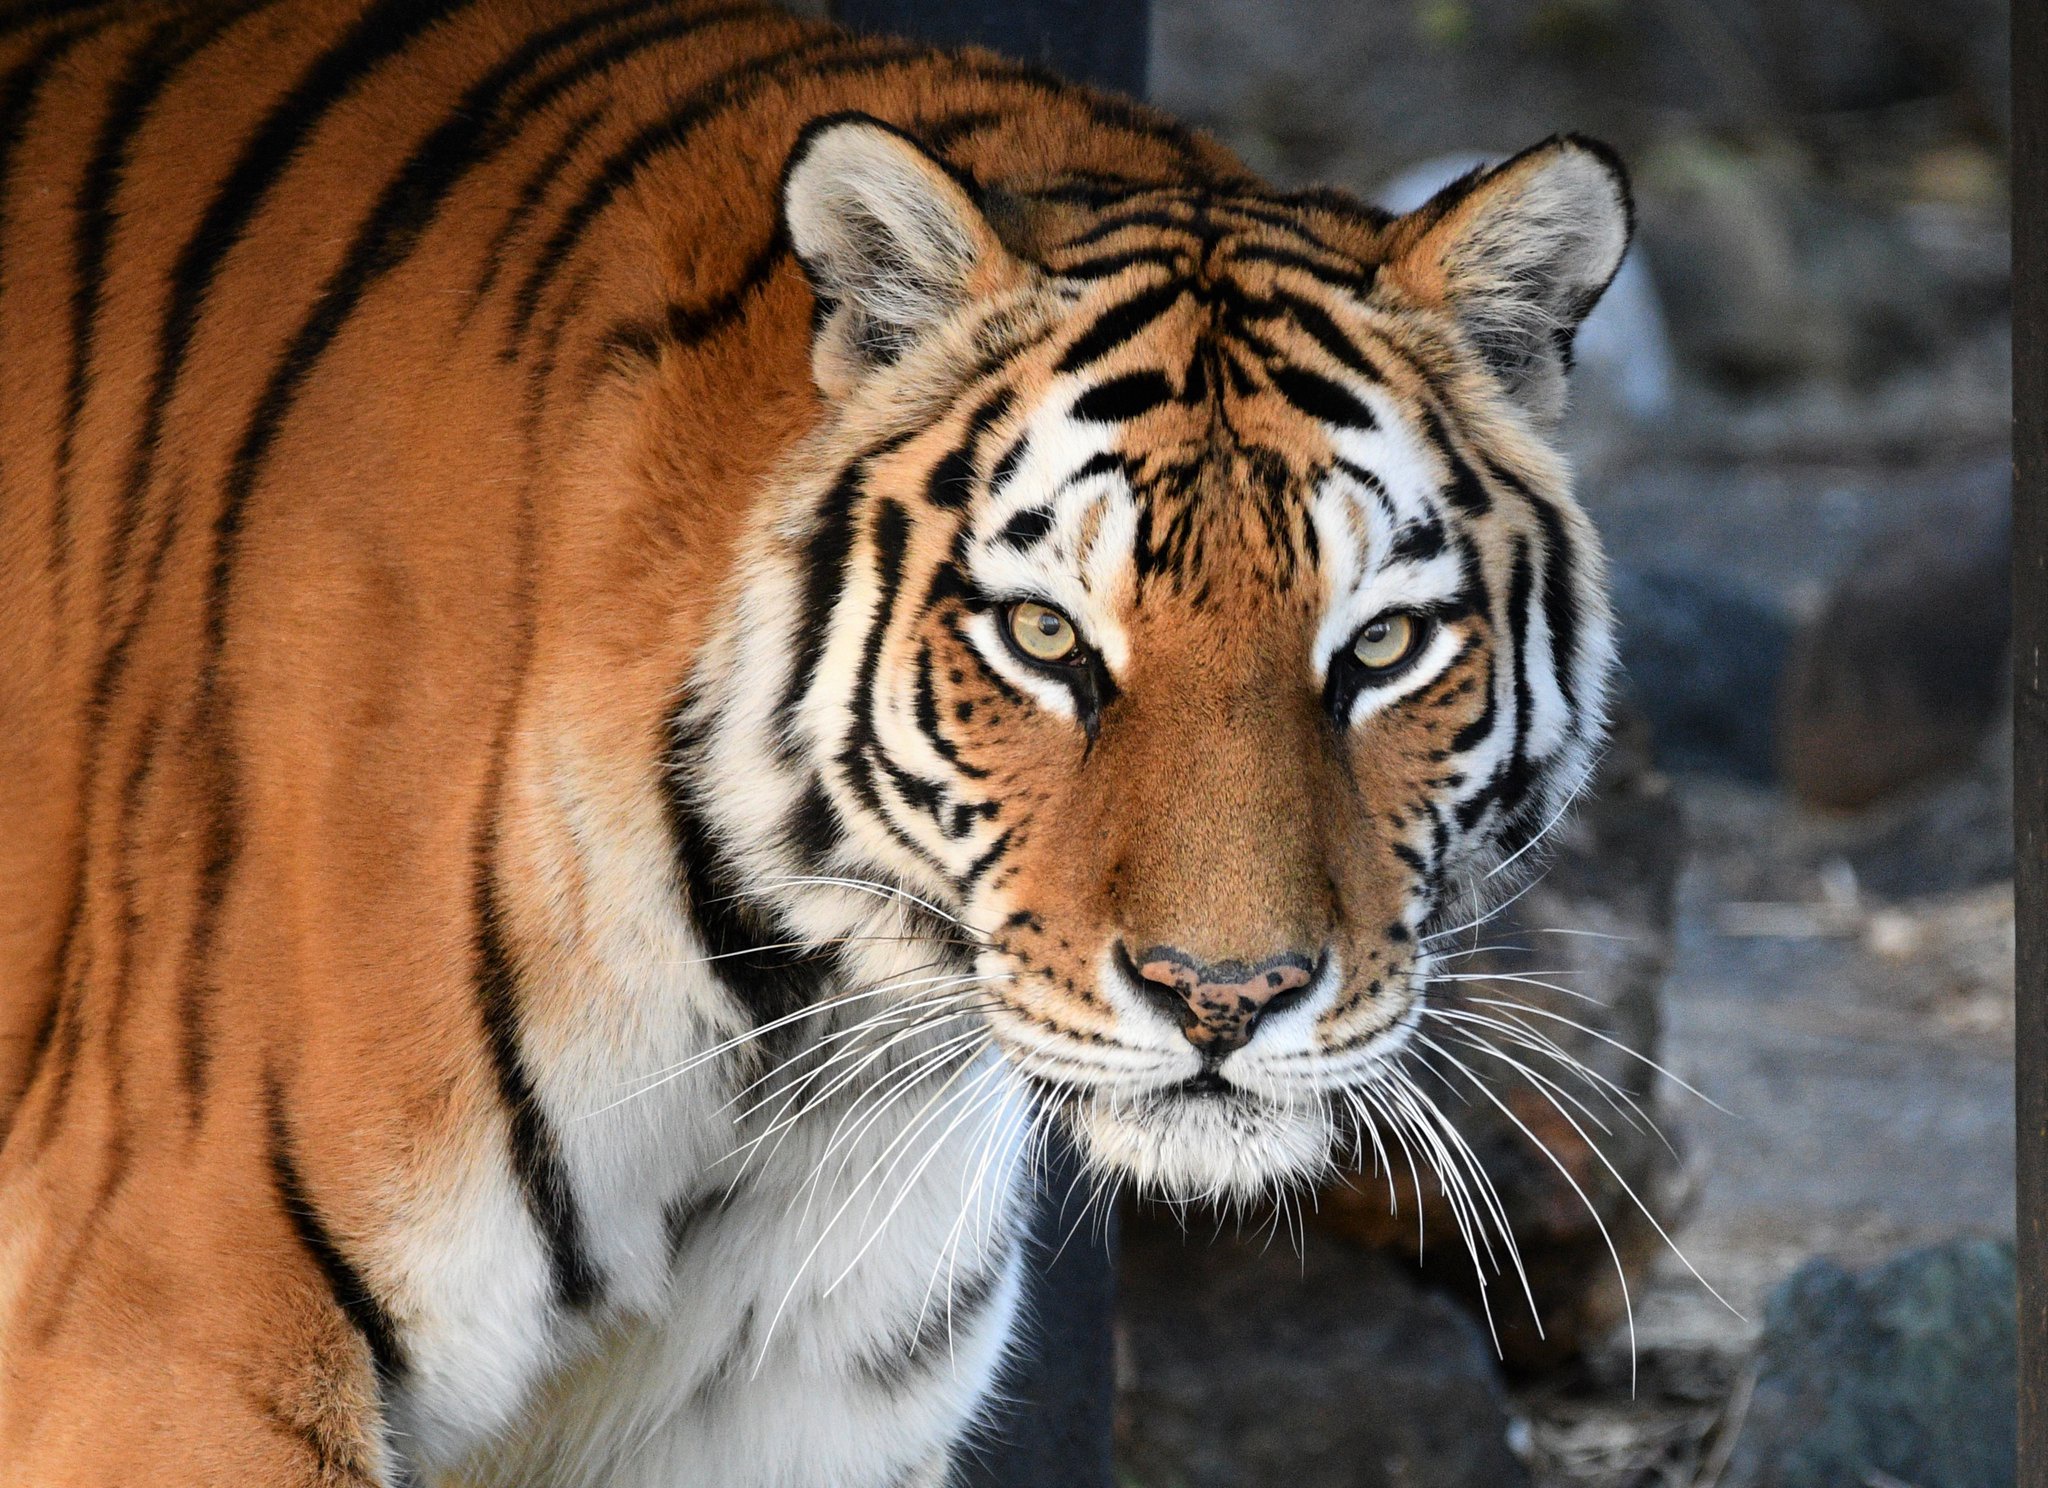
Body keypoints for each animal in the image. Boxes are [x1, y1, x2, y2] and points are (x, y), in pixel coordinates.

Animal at [0, 0, 1630, 1481]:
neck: (801, 1046)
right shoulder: (179, 1339)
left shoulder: (797, 1406)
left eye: (1383, 647)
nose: (1223, 999)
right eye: (1044, 638)